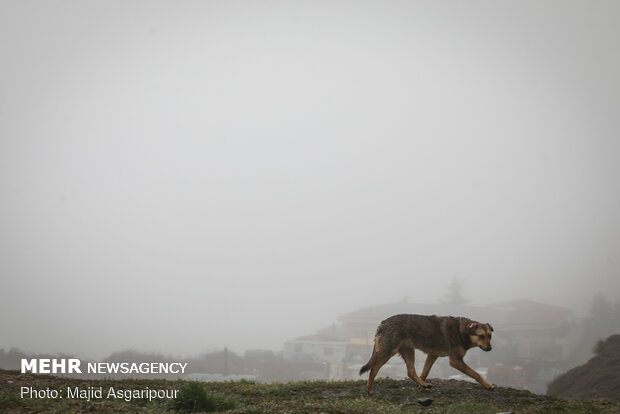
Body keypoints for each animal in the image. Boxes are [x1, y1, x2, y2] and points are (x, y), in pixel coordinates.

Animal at [358, 314, 494, 392]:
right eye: (481, 336)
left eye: (489, 335)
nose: (490, 348)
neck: (462, 331)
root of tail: (383, 323)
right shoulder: (455, 361)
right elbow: (476, 374)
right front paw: (487, 385)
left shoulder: (432, 355)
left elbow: (424, 373)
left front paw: (422, 386)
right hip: (387, 352)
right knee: (373, 369)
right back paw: (369, 389)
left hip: (408, 351)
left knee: (411, 372)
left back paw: (424, 384)